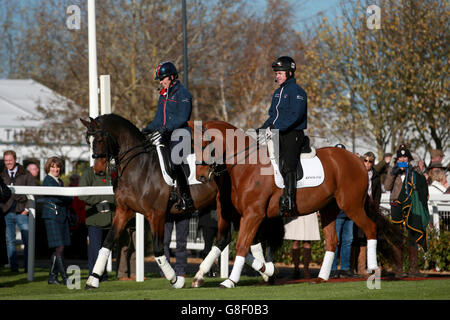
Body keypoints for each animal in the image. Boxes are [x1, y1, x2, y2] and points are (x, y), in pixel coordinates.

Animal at [200, 120, 398, 288]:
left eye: (204, 144)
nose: (201, 176)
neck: (247, 165)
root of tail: (358, 160)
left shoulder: (253, 215)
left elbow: (241, 245)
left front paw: (230, 281)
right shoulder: (242, 216)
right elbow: (238, 244)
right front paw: (269, 271)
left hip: (352, 206)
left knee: (371, 228)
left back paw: (373, 270)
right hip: (329, 209)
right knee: (332, 241)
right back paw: (321, 277)